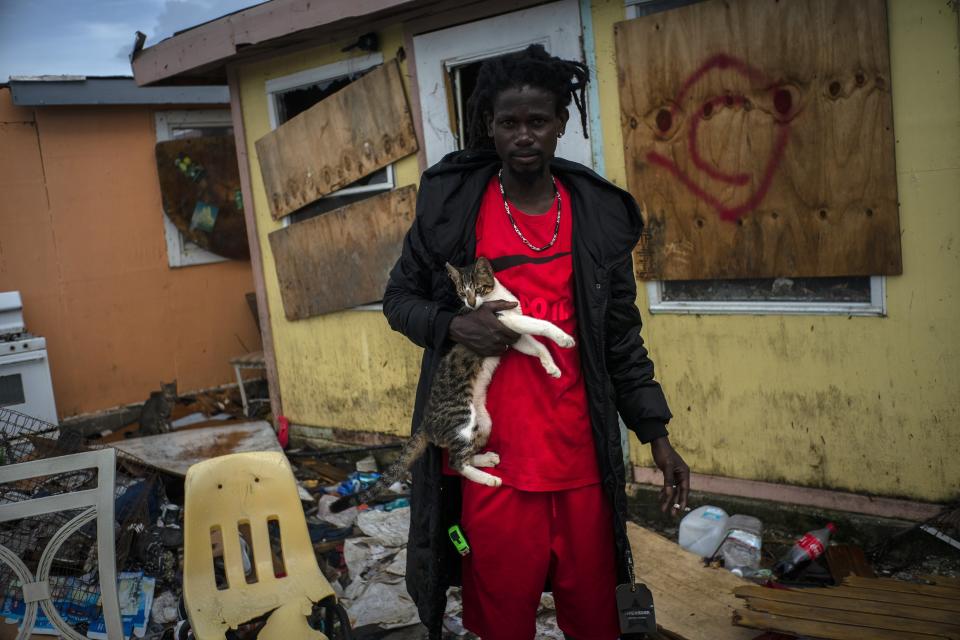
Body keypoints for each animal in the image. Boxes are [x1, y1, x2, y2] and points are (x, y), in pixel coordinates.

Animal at [332, 258, 568, 512]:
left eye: (479, 289)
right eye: (462, 294)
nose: (472, 304)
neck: (494, 295)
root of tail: (426, 423)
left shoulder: (514, 337)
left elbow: (537, 346)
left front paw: (551, 367)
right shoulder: (503, 321)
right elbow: (539, 324)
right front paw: (564, 339)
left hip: (484, 422)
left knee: (465, 454)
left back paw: (486, 459)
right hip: (462, 420)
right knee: (456, 462)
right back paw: (488, 479)